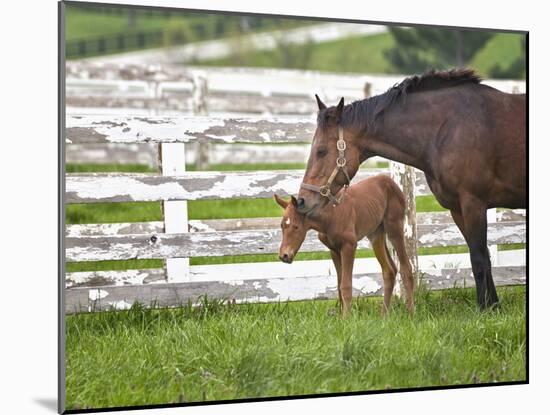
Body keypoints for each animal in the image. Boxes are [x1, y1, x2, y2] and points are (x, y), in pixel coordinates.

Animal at [276, 175, 414, 316]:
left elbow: (346, 285)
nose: (284, 256)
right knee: (389, 270)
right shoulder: (334, 251)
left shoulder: (349, 246)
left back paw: (410, 312)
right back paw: (384, 316)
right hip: (376, 234)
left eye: (296, 227)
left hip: (394, 228)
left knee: (406, 268)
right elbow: (339, 284)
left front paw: (346, 317)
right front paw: (341, 316)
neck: (330, 216)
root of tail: (390, 180)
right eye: (282, 225)